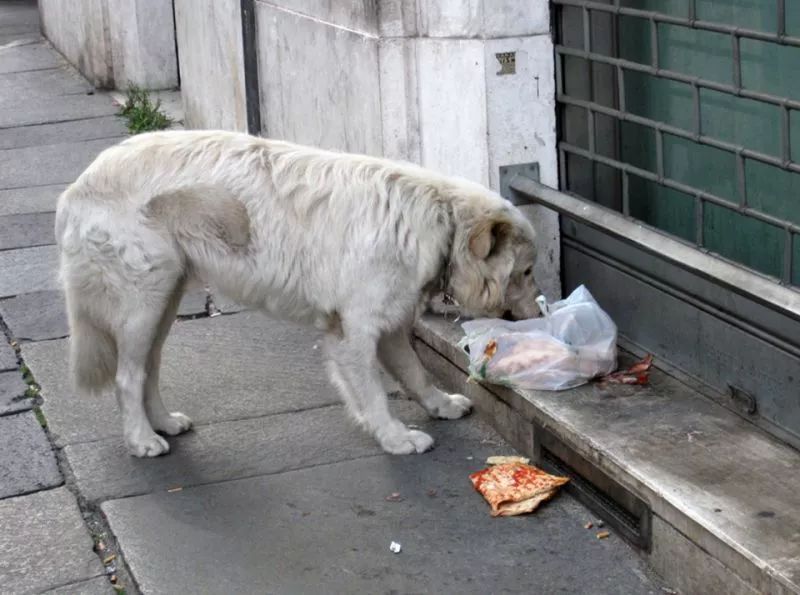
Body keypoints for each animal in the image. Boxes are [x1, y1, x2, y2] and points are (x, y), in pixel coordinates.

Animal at [56, 129, 540, 456]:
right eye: (527, 271)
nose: (538, 314)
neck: (439, 221)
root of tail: (76, 187)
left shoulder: (390, 327)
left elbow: (416, 375)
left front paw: (440, 407)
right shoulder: (354, 333)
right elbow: (375, 393)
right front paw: (395, 437)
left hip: (163, 302)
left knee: (148, 370)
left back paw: (162, 424)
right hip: (143, 303)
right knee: (127, 377)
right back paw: (141, 440)